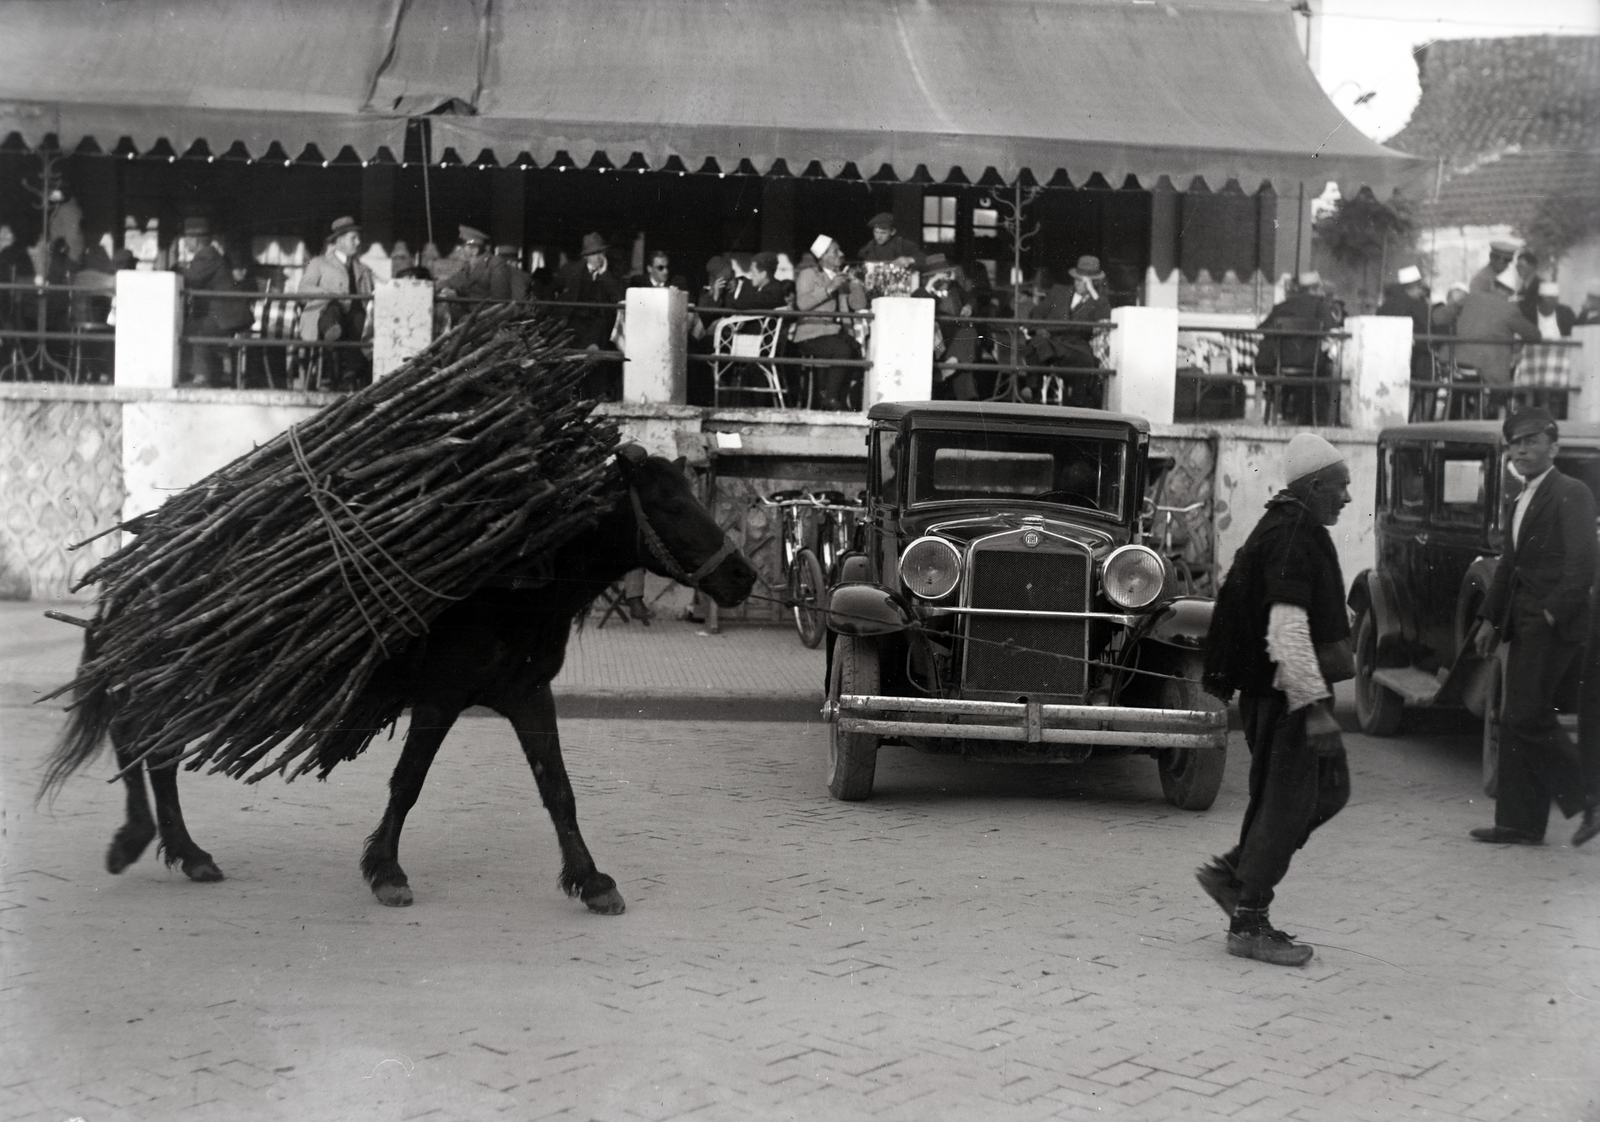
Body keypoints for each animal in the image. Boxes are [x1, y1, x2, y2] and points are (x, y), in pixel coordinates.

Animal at [43, 444, 755, 909]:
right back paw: (139, 840)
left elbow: (559, 790)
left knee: (156, 751)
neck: (516, 575)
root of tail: (134, 559)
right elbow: (407, 784)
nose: (743, 576)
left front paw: (591, 879)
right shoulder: (439, 699)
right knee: (137, 738)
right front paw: (385, 870)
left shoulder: (527, 694)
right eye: (670, 504)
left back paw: (186, 852)